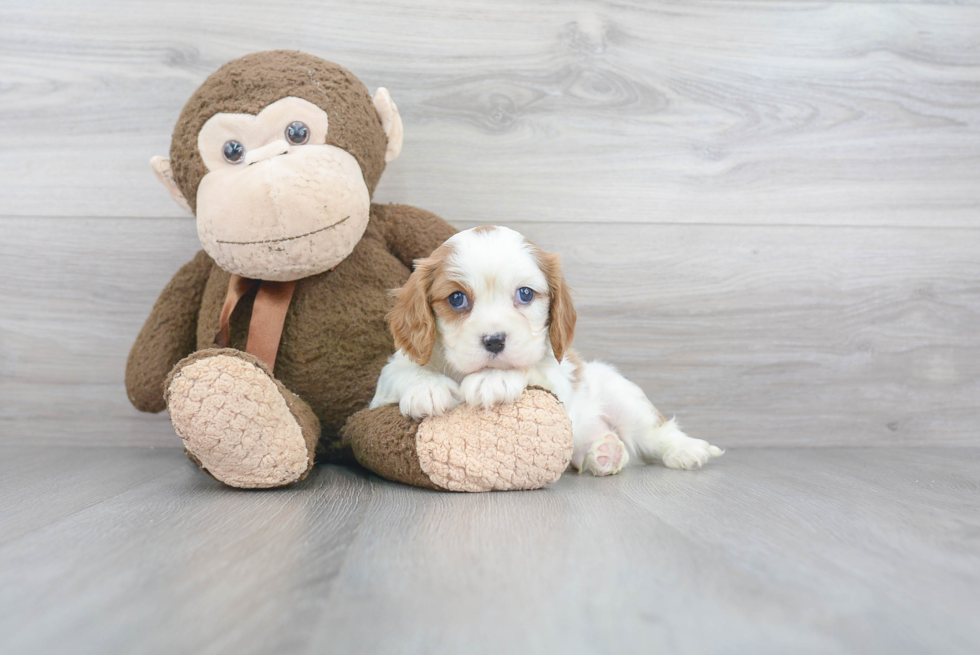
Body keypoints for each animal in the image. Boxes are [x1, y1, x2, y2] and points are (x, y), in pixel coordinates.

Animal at [372, 227, 724, 476]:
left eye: (525, 294)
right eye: (457, 299)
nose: (494, 340)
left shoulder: (558, 379)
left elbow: (533, 368)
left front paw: (494, 379)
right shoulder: (382, 386)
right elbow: (400, 373)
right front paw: (427, 387)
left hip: (623, 399)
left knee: (656, 432)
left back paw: (686, 450)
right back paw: (603, 454)